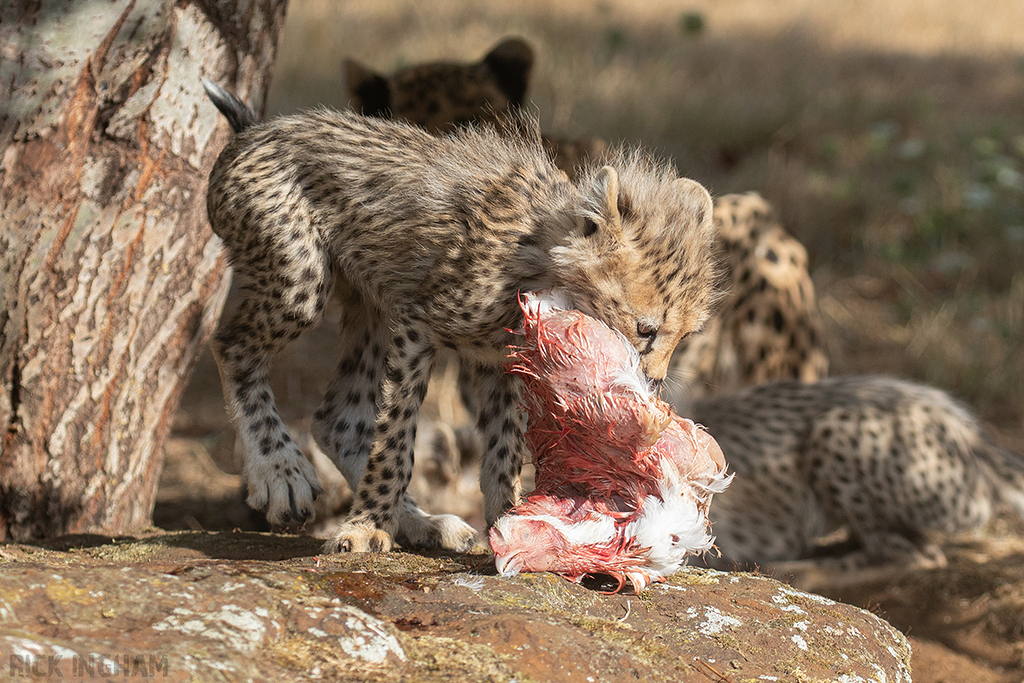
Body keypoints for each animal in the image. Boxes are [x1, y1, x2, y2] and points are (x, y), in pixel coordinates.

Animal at [201, 79, 717, 554]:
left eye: (684, 337)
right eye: (646, 330)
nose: (653, 384)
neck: (534, 261)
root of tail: (260, 130)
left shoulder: (498, 361)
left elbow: (504, 449)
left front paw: (510, 523)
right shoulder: (417, 326)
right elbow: (397, 437)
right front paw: (366, 527)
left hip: (370, 301)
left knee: (338, 418)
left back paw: (420, 522)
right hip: (301, 280)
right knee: (232, 345)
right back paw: (280, 471)